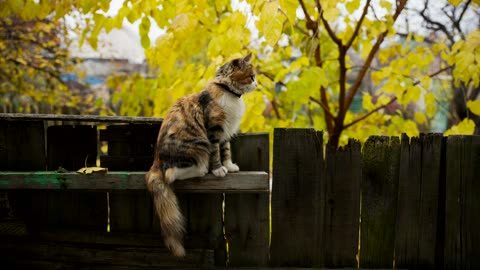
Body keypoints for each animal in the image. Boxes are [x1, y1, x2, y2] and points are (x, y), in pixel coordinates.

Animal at [144, 54, 256, 258]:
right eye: (251, 76)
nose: (256, 83)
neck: (227, 91)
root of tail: (155, 162)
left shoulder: (225, 131)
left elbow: (226, 149)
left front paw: (229, 166)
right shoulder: (214, 129)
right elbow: (216, 152)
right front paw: (219, 170)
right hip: (198, 144)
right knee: (172, 173)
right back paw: (203, 170)